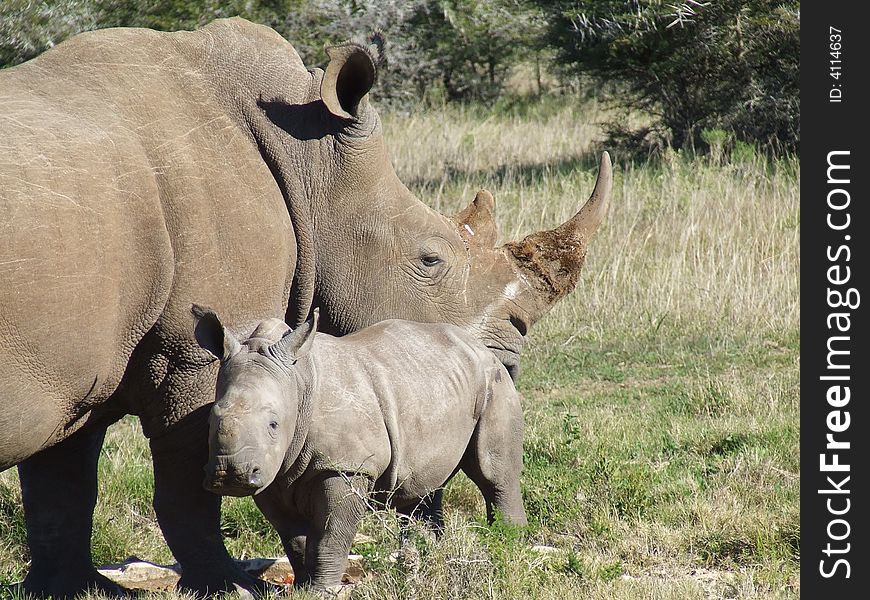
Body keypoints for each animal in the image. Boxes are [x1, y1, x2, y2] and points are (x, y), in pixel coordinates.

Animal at [193, 304, 528, 592]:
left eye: (274, 424)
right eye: (210, 419)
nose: (231, 473)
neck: (299, 383)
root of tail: (479, 346)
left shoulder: (346, 466)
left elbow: (331, 535)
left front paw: (322, 590)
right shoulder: (272, 474)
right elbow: (294, 538)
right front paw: (302, 587)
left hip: (494, 382)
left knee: (494, 474)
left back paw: (508, 547)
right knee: (421, 491)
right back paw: (421, 563)